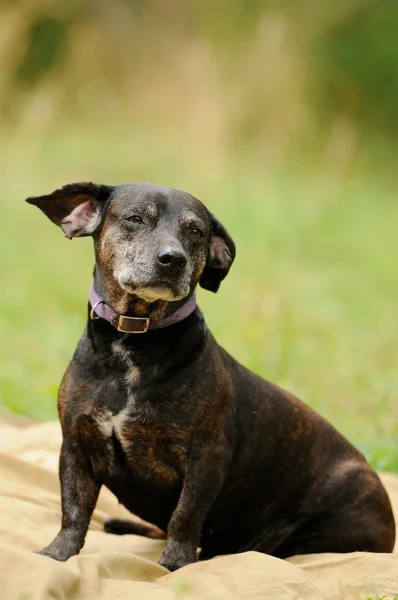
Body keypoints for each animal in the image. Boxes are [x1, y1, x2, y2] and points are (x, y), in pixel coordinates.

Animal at [26, 183, 394, 572]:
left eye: (196, 232)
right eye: (135, 218)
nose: (173, 259)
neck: (134, 341)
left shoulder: (205, 459)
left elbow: (185, 516)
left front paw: (174, 565)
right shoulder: (76, 446)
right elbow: (73, 508)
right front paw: (58, 553)